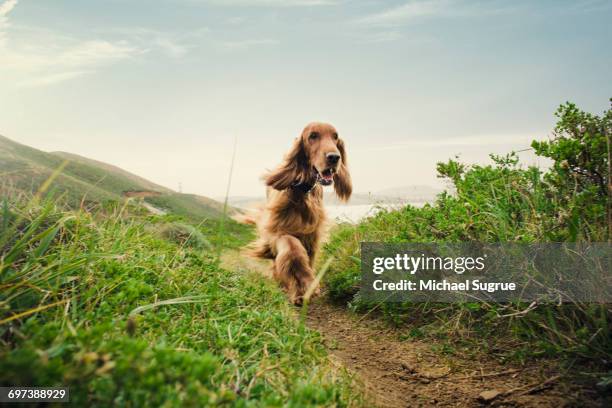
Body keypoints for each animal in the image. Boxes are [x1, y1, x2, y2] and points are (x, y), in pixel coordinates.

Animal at [243, 122, 350, 304]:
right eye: (313, 136)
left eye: (335, 136)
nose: (334, 157)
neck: (302, 192)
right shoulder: (277, 231)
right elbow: (292, 250)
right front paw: (302, 285)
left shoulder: (312, 234)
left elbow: (309, 257)